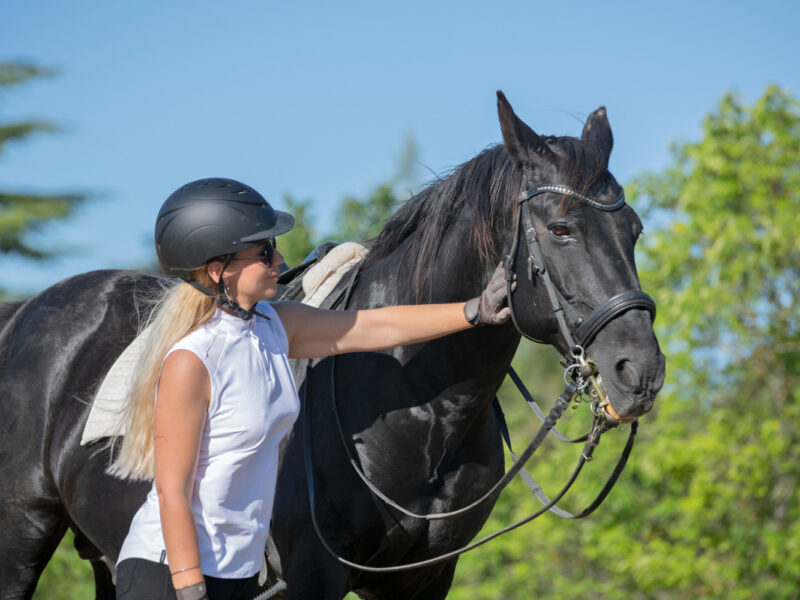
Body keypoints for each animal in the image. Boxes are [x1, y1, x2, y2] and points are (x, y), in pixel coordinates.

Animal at [0, 95, 664, 600]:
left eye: (633, 230)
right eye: (561, 229)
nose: (641, 373)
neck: (417, 409)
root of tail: (24, 313)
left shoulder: (423, 582)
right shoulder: (311, 577)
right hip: (21, 538)